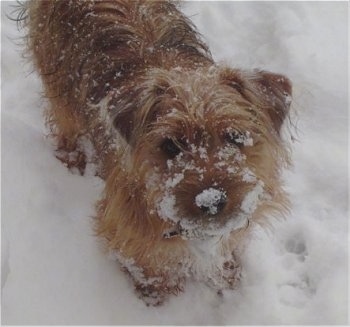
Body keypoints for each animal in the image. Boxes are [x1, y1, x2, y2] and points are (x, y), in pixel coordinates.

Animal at [20, 0, 292, 308]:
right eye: (171, 145)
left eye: (234, 137)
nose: (211, 200)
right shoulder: (124, 224)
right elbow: (147, 263)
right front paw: (156, 295)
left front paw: (229, 276)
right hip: (59, 80)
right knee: (65, 121)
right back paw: (73, 158)